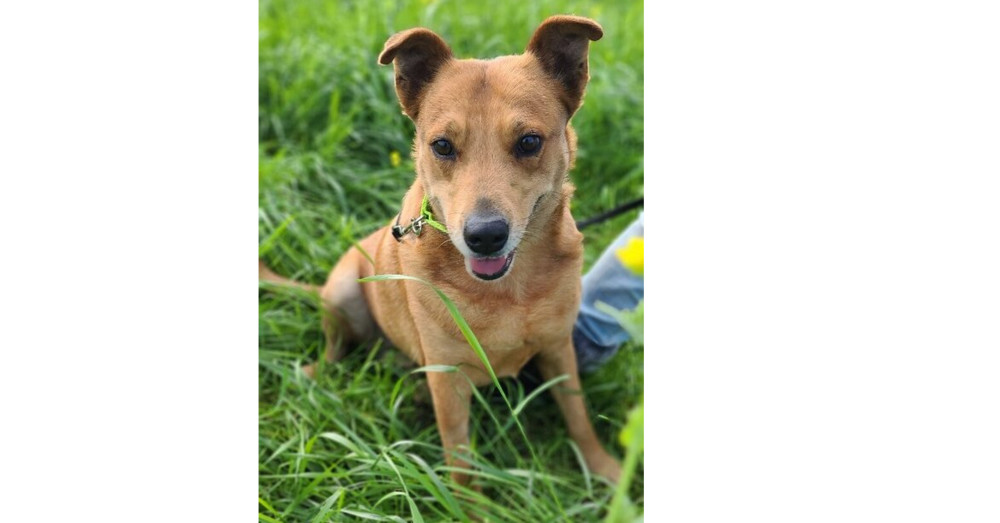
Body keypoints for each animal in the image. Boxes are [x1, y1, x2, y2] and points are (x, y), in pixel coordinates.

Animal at [260, 13, 616, 488]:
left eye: (529, 142)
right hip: (342, 292)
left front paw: (603, 470)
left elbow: (577, 416)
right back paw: (318, 374)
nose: (485, 235)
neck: (508, 292)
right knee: (334, 349)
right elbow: (460, 460)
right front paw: (471, 502)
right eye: (442, 145)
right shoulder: (448, 381)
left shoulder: (559, 348)